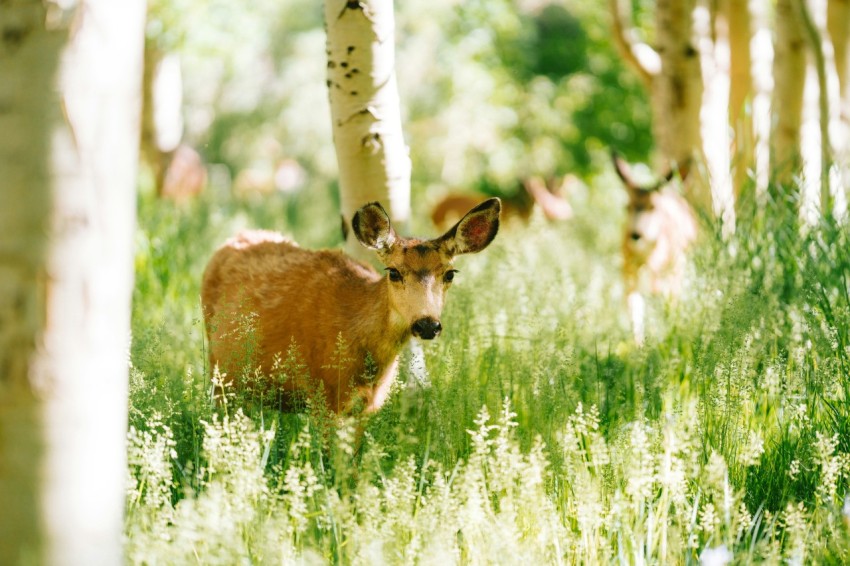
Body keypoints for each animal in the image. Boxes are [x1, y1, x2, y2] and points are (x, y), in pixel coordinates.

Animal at [201, 197, 500, 414]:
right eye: (393, 272)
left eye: (450, 274)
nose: (427, 324)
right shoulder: (324, 393)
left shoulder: (367, 407)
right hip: (218, 369)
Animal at [608, 152, 696, 346]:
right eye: (627, 206)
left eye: (653, 207)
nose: (635, 234)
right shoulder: (628, 272)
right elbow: (635, 309)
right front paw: (639, 345)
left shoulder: (675, 266)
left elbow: (669, 300)